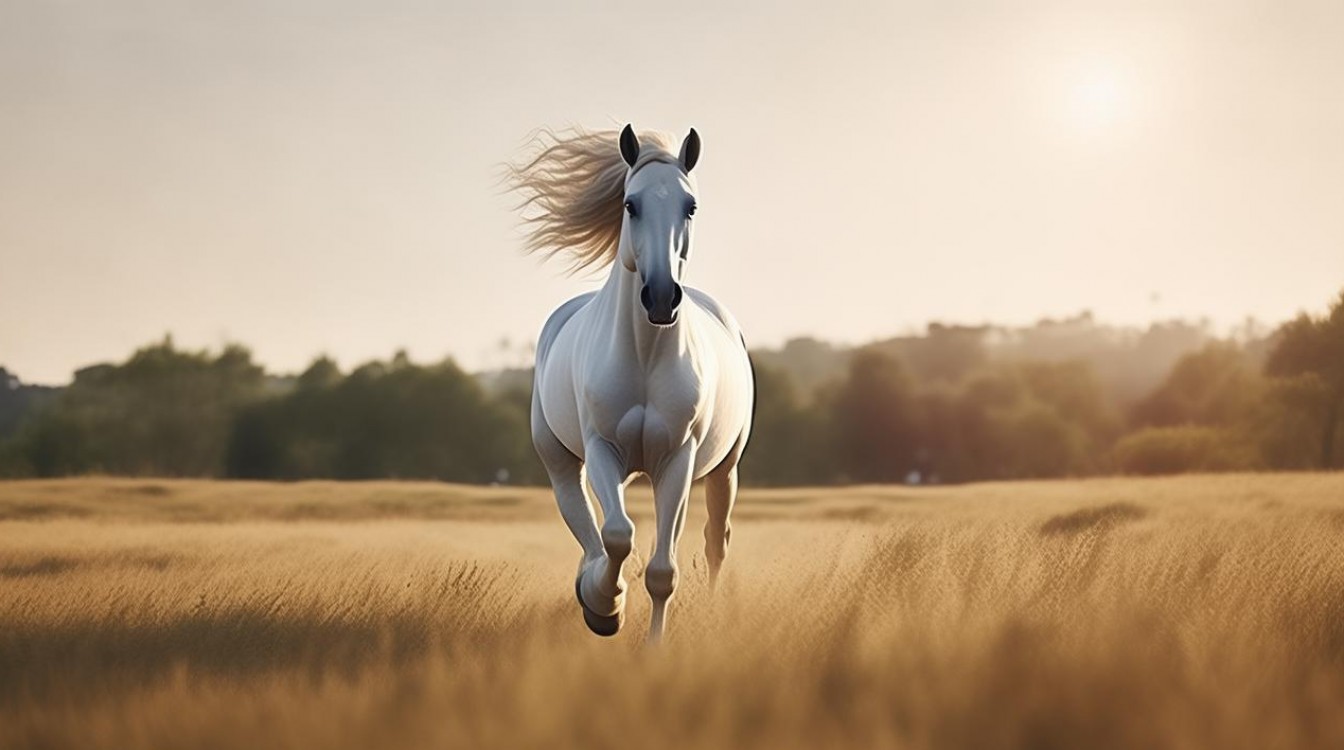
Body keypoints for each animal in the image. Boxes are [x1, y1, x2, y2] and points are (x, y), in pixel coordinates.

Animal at [510, 125, 754, 642]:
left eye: (690, 206)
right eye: (630, 204)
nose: (661, 297)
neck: (645, 355)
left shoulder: (677, 460)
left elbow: (663, 571)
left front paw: (652, 647)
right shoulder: (603, 449)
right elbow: (617, 535)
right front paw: (605, 607)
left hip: (724, 468)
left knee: (715, 540)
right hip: (561, 460)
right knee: (585, 520)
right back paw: (594, 590)